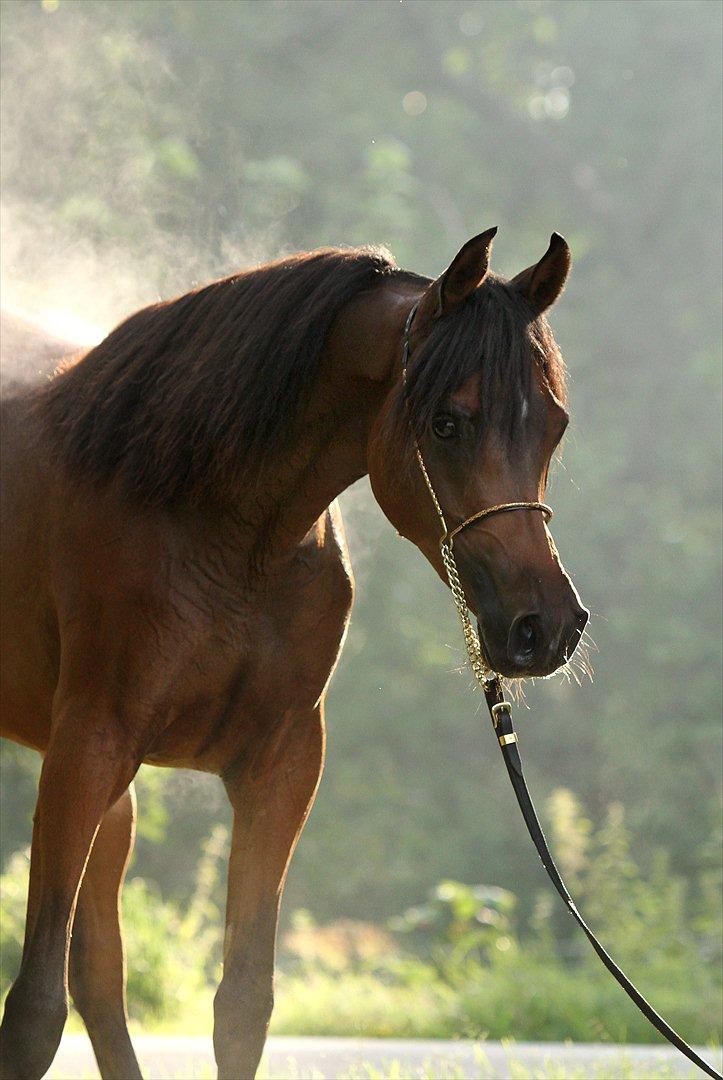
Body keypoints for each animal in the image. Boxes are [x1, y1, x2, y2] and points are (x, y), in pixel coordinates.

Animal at [0, 230, 587, 1080]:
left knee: (101, 976)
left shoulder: (278, 763)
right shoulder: (87, 749)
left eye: (554, 424)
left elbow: (242, 1003)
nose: (544, 625)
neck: (215, 518)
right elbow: (34, 1013)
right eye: (446, 422)